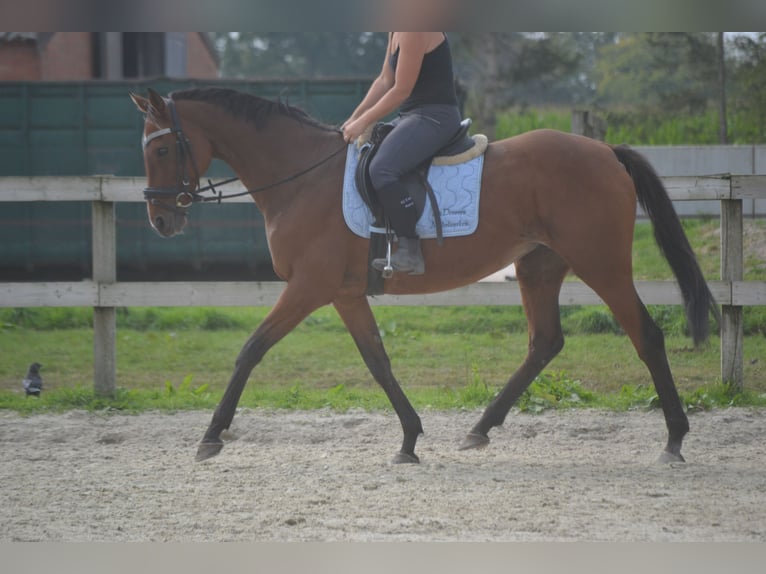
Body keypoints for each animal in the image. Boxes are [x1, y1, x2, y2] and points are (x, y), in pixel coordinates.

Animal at [130, 88, 720, 466]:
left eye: (161, 147)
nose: (159, 220)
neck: (302, 178)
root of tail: (605, 151)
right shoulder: (344, 293)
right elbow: (377, 360)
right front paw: (410, 440)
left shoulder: (308, 287)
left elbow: (250, 349)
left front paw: (211, 436)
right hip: (538, 266)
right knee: (545, 343)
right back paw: (479, 430)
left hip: (602, 263)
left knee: (646, 335)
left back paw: (674, 440)